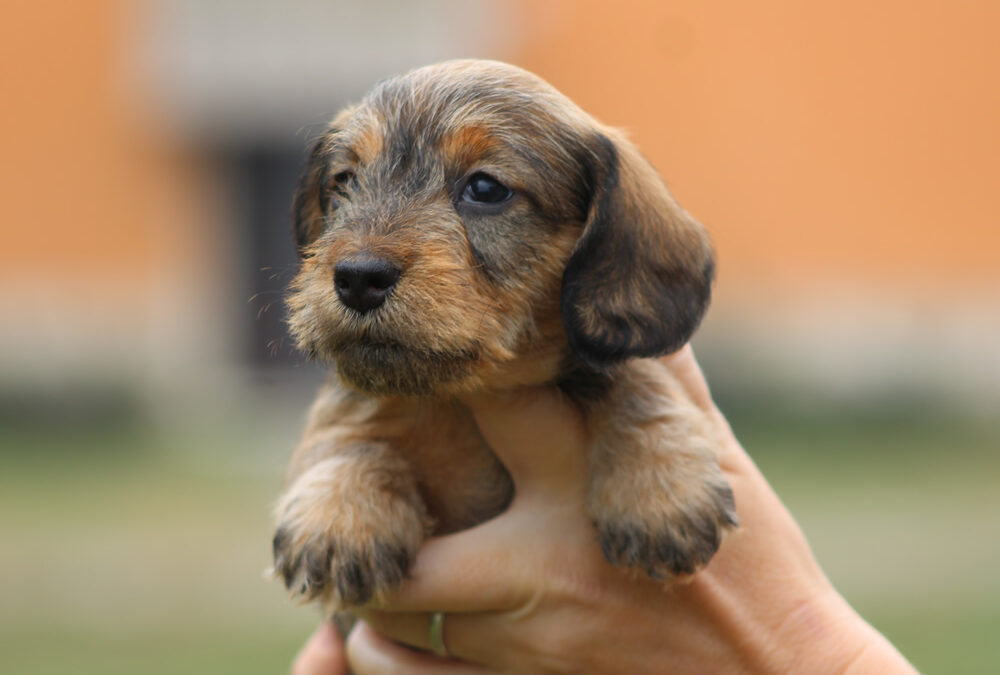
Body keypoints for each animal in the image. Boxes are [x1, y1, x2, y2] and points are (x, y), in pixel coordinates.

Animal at [272, 60, 736, 616]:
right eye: (345, 181)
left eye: (486, 189)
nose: (358, 278)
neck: (459, 397)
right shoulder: (356, 396)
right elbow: (345, 428)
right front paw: (342, 512)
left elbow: (633, 375)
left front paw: (659, 487)